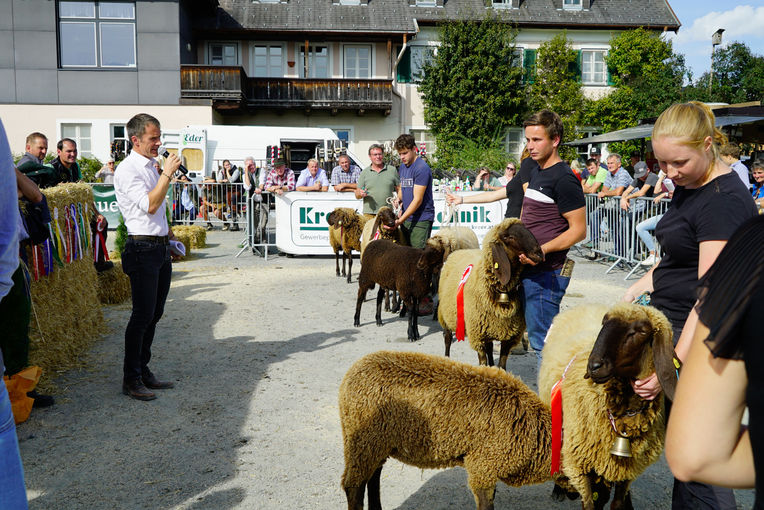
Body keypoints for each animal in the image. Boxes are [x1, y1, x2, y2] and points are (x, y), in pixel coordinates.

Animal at [338, 350, 548, 510]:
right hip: (361, 440)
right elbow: (486, 504)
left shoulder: (488, 467)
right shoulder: (482, 465)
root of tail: (351, 374)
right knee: (354, 486)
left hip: (377, 443)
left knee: (373, 478)